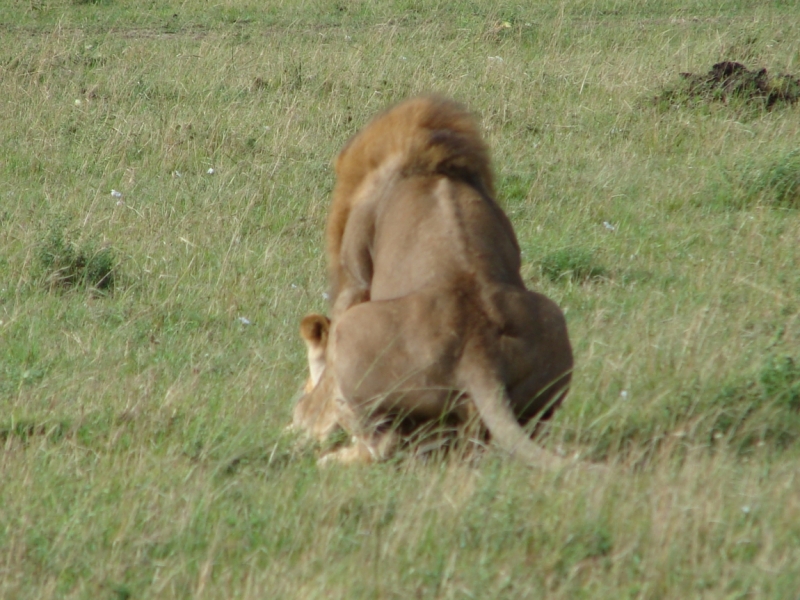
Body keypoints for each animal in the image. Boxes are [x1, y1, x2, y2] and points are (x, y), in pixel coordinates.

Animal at [294, 96, 576, 468]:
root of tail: (478, 350)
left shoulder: (355, 275)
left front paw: (305, 423)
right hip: (552, 327)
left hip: (353, 333)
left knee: (383, 444)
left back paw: (329, 458)